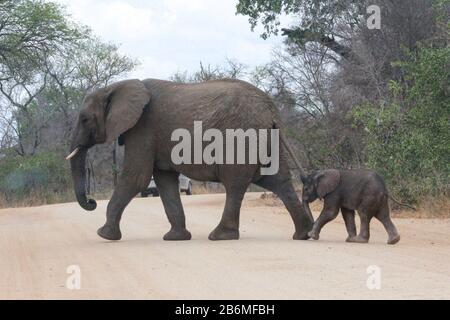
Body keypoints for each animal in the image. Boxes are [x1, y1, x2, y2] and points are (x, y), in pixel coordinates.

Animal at [67, 79, 312, 241]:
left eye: (85, 119)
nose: (92, 202)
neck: (115, 87)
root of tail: (271, 110)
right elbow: (164, 180)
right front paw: (175, 238)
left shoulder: (143, 129)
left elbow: (136, 177)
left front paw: (104, 235)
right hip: (266, 137)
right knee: (277, 180)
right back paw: (303, 233)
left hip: (242, 136)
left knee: (235, 183)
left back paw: (220, 236)